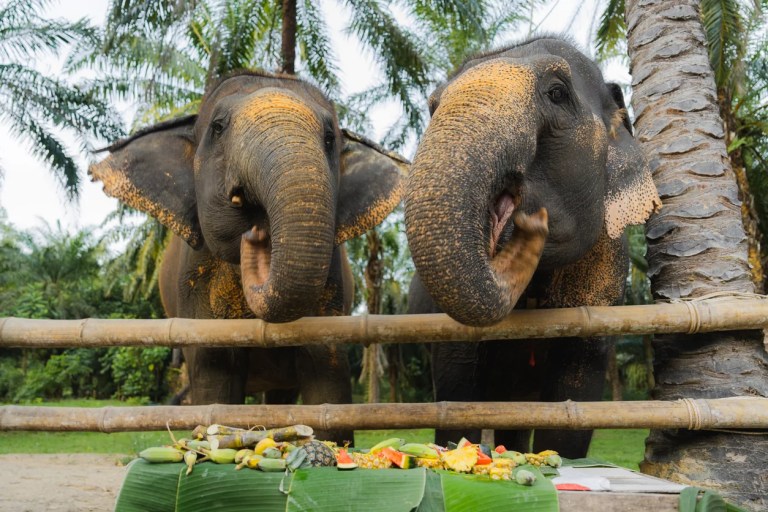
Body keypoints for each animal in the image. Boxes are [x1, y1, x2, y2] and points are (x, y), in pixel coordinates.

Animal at [90, 70, 407, 444]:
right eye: (217, 127)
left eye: (330, 138)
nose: (257, 231)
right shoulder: (195, 284)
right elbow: (216, 381)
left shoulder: (332, 285)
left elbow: (326, 378)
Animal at [404, 36, 661, 457]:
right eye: (432, 108)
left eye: (557, 93)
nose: (530, 222)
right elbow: (457, 394)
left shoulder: (605, 271)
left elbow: (573, 403)